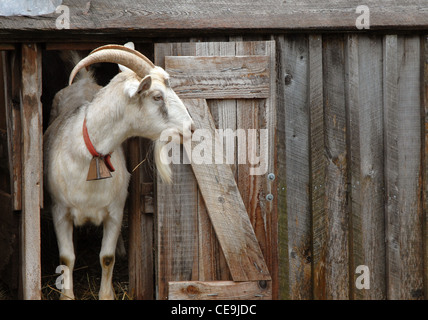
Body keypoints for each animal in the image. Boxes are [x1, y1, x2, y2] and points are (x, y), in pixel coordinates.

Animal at [44, 43, 194, 298]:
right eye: (157, 96)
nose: (191, 127)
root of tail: (83, 81)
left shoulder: (114, 212)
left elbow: (107, 257)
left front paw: (107, 294)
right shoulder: (59, 210)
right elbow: (67, 258)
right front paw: (67, 295)